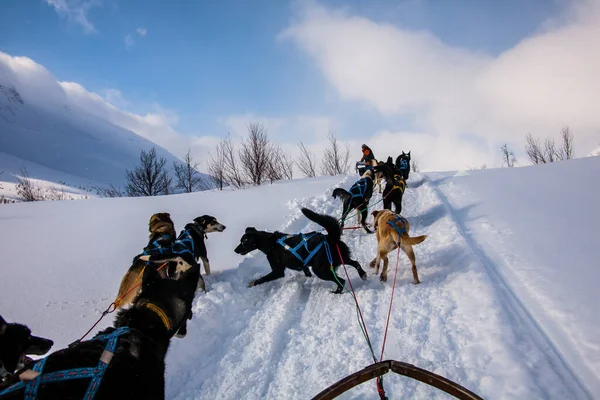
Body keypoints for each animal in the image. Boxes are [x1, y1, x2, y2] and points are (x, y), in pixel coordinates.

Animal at [233, 208, 366, 292]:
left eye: (244, 242)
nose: (235, 250)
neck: (271, 243)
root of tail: (330, 238)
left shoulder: (277, 271)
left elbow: (263, 278)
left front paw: (253, 283)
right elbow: (305, 270)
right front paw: (307, 275)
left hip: (321, 270)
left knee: (341, 281)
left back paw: (337, 292)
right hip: (340, 258)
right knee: (355, 263)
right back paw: (362, 274)